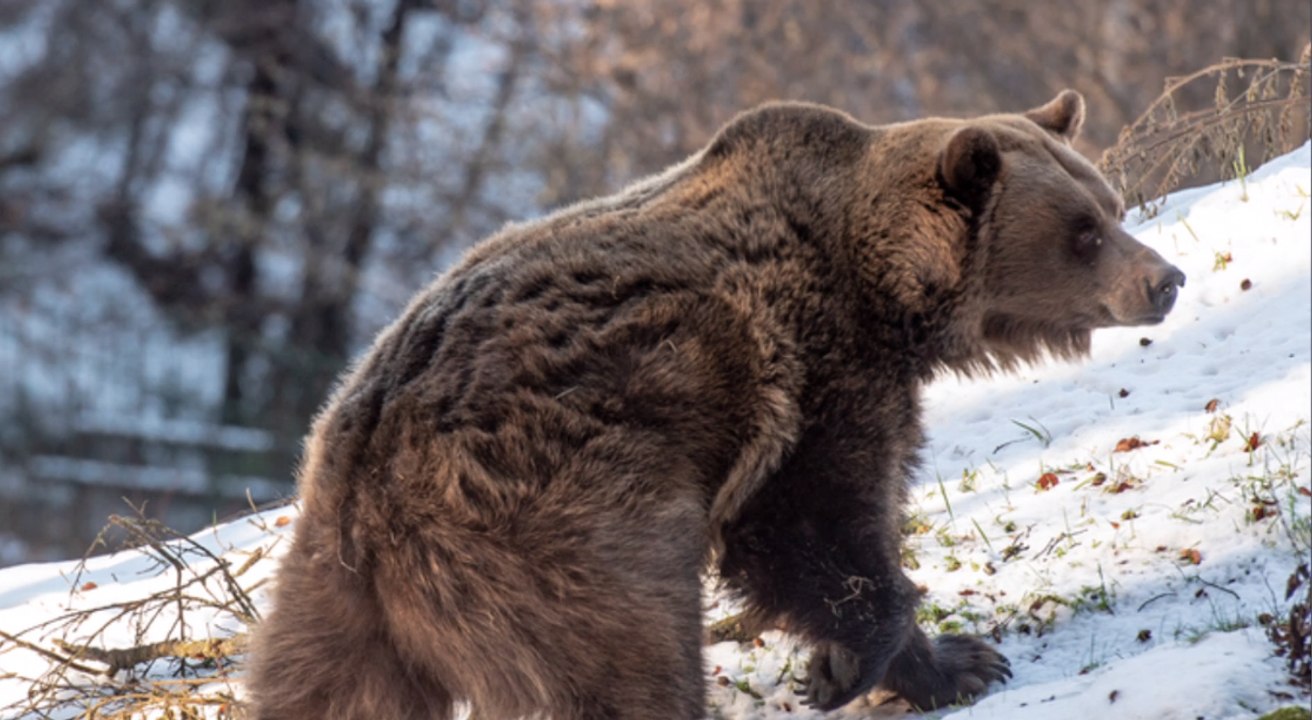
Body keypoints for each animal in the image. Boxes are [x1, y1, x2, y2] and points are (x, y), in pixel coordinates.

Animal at [246, 91, 1191, 718]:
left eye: (1108, 204)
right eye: (1083, 233)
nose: (1166, 279)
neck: (886, 294)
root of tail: (364, 470)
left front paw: (950, 660)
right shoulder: (810, 375)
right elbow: (819, 525)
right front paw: (884, 665)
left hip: (331, 593)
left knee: (327, 689)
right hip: (545, 529)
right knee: (621, 662)